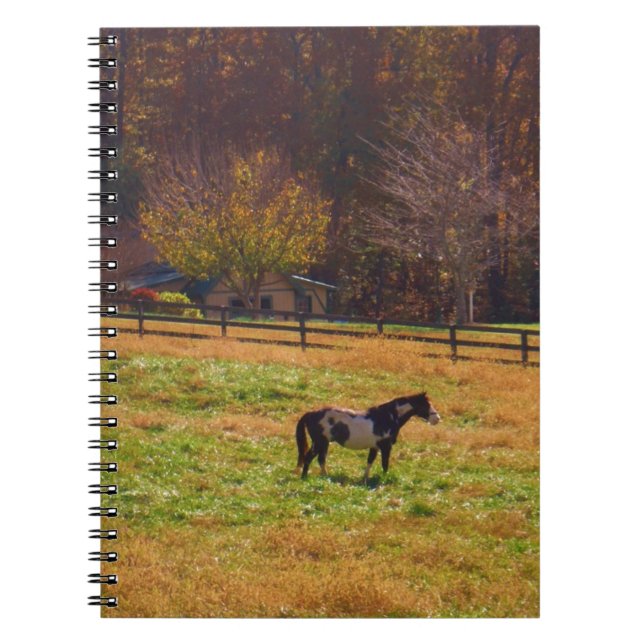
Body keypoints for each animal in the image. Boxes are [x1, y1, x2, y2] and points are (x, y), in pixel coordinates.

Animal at [295, 392, 440, 481]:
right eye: (426, 405)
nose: (437, 418)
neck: (387, 417)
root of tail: (310, 413)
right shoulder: (385, 447)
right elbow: (385, 464)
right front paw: (384, 479)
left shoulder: (374, 447)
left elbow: (370, 461)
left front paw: (365, 478)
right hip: (319, 442)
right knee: (309, 458)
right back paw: (305, 477)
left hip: (323, 443)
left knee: (320, 459)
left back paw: (325, 476)